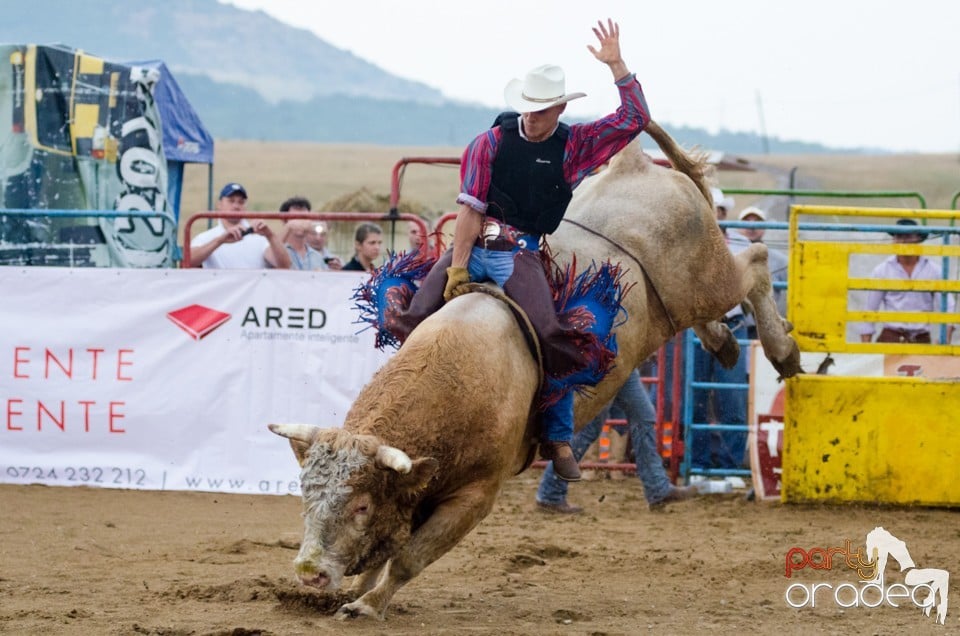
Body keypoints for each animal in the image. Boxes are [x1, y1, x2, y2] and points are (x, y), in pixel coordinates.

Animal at [268, 121, 804, 620]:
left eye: (360, 505)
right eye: (305, 493)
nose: (310, 572)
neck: (456, 378)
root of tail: (639, 168)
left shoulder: (476, 496)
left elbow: (408, 557)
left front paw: (367, 604)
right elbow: (387, 549)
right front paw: (358, 593)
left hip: (710, 278)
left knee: (756, 263)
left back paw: (783, 351)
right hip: (686, 302)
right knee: (710, 310)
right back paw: (724, 343)